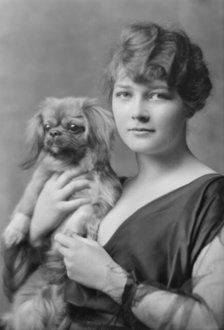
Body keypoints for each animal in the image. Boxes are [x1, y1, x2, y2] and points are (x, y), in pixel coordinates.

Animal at [0, 97, 121, 330]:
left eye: (73, 127)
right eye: (47, 127)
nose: (54, 133)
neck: (71, 164)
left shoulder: (102, 199)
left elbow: (84, 210)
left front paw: (70, 230)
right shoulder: (41, 181)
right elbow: (26, 207)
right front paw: (14, 231)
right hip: (30, 311)